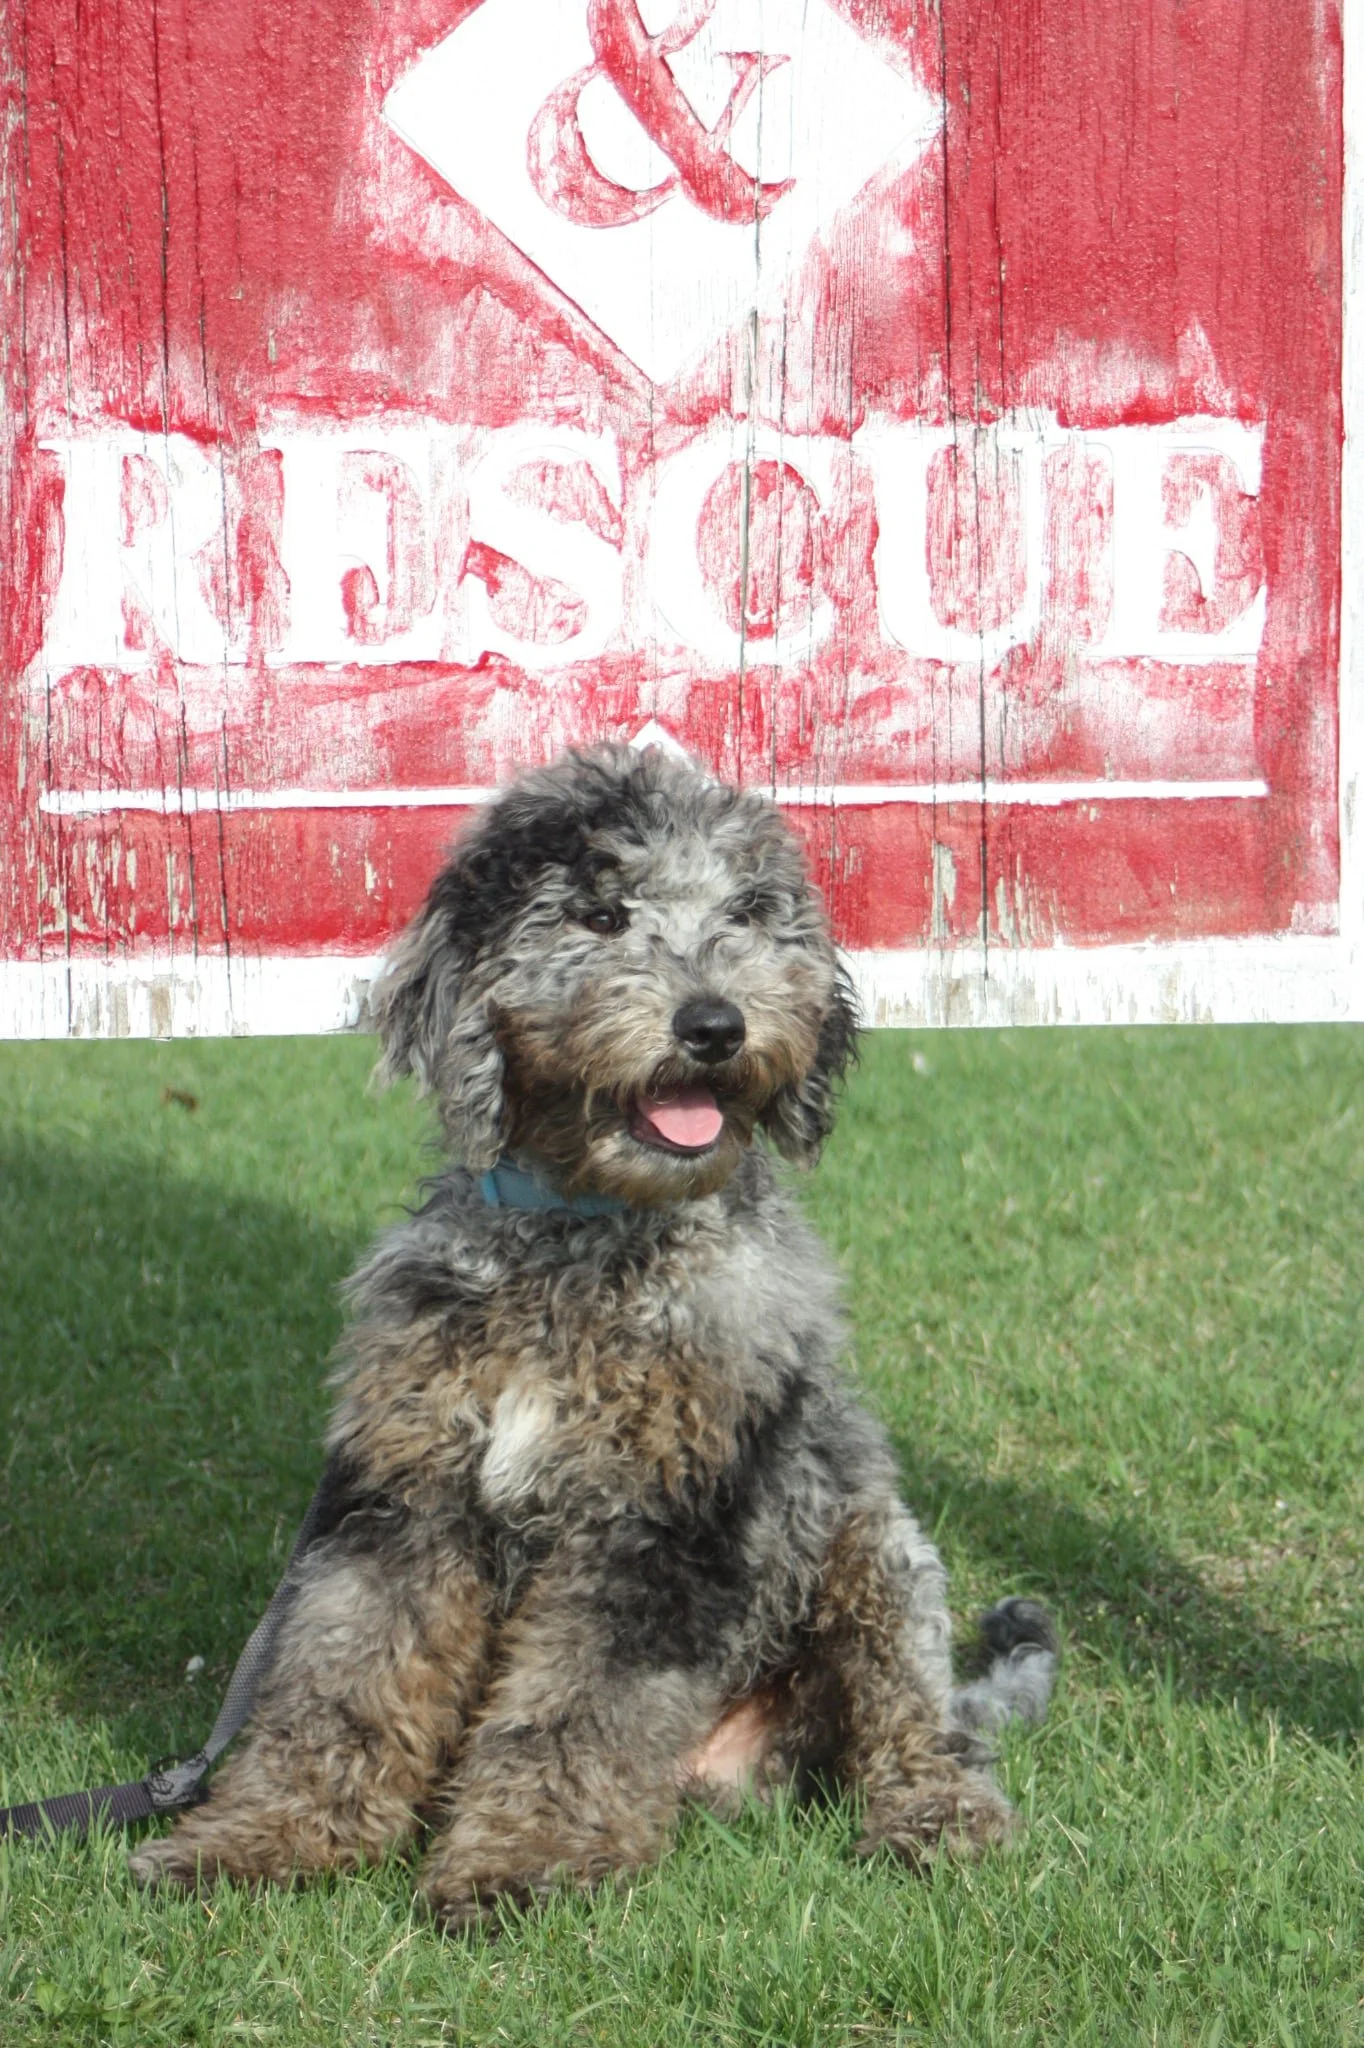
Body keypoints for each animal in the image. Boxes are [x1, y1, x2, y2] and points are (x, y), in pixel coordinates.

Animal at [129, 744, 1056, 1926]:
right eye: (601, 913)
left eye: (749, 913)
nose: (714, 1026)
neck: (582, 1239)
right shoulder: (404, 1495)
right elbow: (339, 1675)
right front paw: (268, 1835)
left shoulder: (660, 1515)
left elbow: (581, 1703)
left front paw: (527, 1858)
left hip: (875, 1550)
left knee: (920, 1717)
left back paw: (938, 1817)